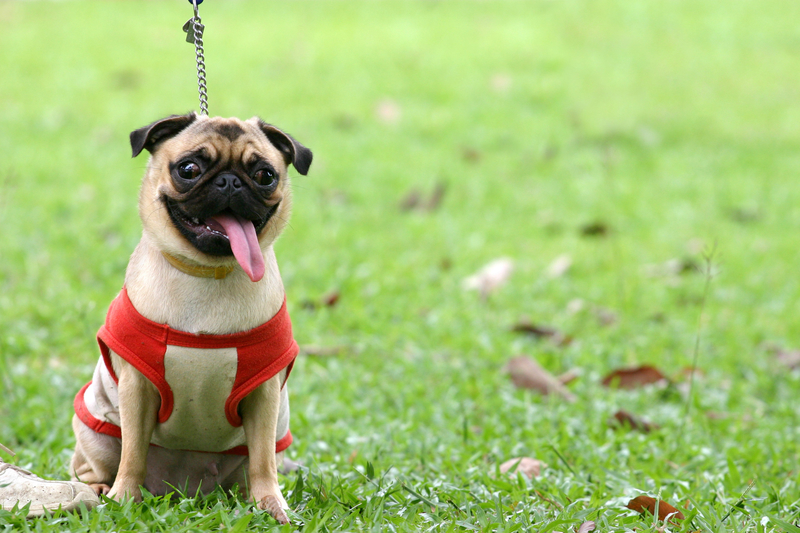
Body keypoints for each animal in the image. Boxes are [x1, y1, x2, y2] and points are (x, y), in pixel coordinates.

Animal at [69, 113, 312, 524]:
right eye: (189, 169)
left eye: (265, 175)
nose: (229, 181)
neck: (208, 273)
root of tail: (185, 488)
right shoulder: (136, 387)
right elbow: (132, 452)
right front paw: (124, 497)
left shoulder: (265, 395)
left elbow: (263, 460)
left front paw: (271, 504)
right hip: (97, 433)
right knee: (92, 466)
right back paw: (99, 490)